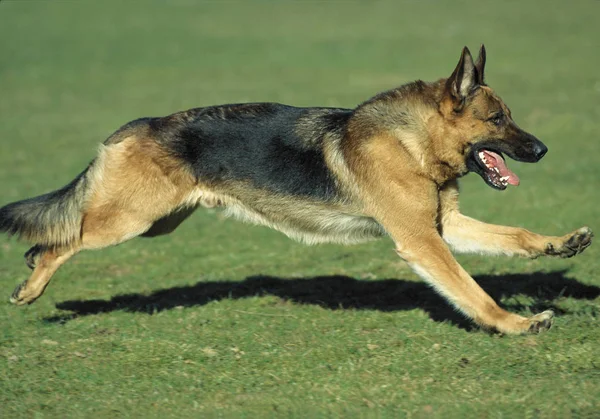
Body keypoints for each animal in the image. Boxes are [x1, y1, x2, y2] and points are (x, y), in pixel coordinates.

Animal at [0, 46, 592, 334]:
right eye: (498, 119)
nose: (543, 150)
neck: (412, 142)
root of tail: (135, 126)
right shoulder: (423, 241)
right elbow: (474, 292)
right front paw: (515, 325)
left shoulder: (446, 227)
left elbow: (517, 234)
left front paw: (561, 244)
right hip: (129, 222)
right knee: (61, 239)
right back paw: (30, 288)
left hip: (156, 223)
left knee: (57, 236)